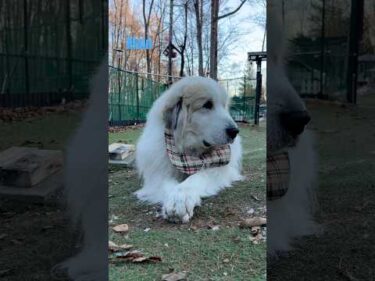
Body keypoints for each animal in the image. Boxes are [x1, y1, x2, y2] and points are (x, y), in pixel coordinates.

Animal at [135, 75, 244, 222]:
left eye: (224, 106)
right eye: (207, 105)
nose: (234, 131)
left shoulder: (218, 167)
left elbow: (198, 176)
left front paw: (182, 196)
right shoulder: (158, 173)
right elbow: (168, 183)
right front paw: (176, 199)